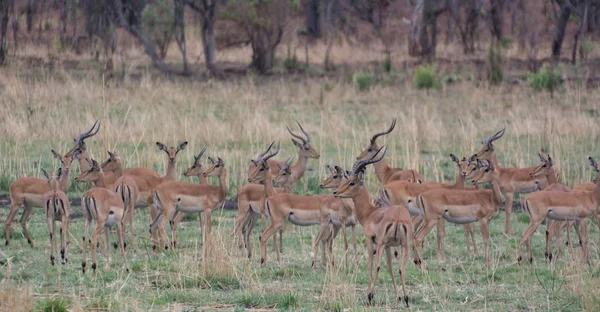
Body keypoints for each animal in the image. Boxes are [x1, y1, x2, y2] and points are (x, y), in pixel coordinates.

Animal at [332, 147, 412, 308]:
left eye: (351, 182)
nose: (336, 193)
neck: (370, 213)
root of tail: (399, 217)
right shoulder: (389, 246)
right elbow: (390, 267)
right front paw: (398, 297)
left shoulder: (371, 240)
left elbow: (370, 265)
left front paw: (369, 296)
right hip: (405, 245)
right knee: (401, 268)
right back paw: (407, 299)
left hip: (381, 244)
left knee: (377, 266)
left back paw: (370, 297)